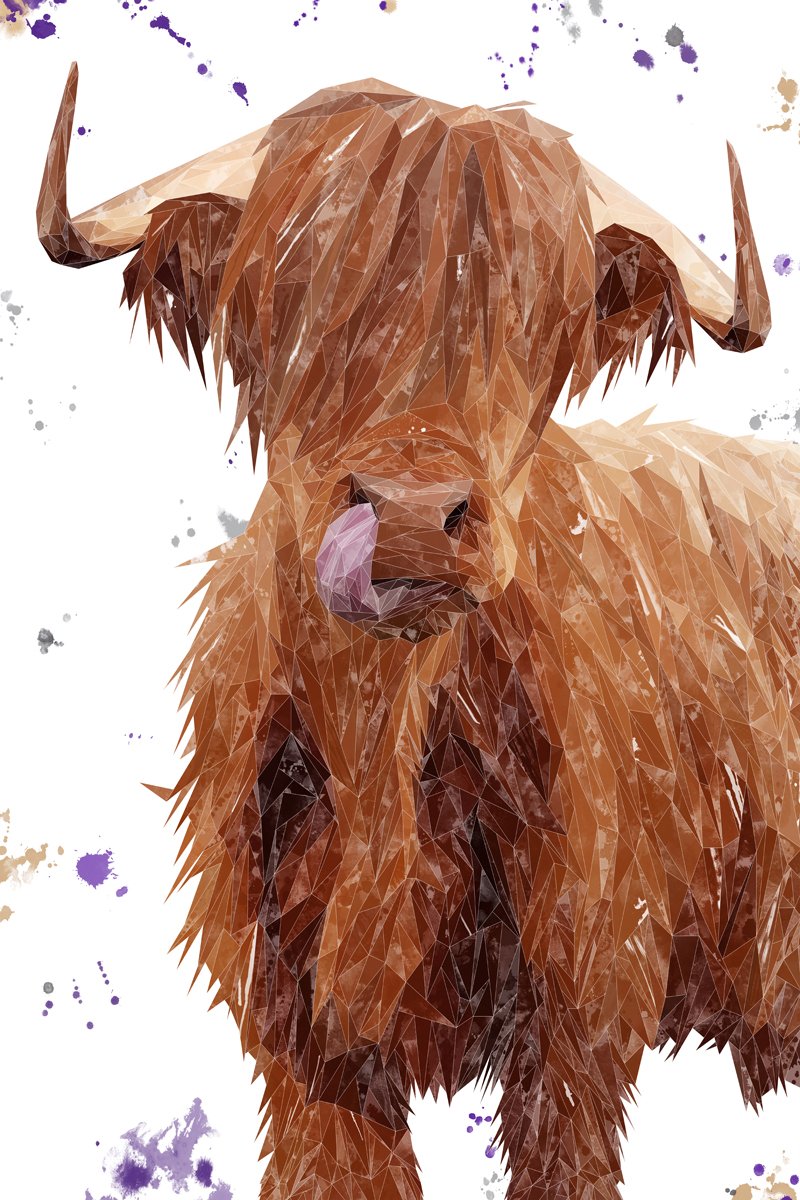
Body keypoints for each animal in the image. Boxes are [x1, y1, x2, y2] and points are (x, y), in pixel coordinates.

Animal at [37, 63, 799, 1200]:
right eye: (293, 289)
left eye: (538, 314)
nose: (408, 514)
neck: (379, 757)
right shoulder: (303, 1048)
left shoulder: (582, 1017)